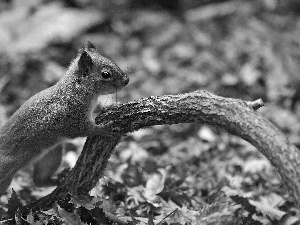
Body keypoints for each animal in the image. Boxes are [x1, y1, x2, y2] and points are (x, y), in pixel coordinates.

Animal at [0, 41, 128, 193]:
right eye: (106, 74)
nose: (127, 80)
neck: (75, 89)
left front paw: (109, 106)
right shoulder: (70, 117)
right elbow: (85, 129)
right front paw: (104, 129)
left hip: (51, 156)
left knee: (39, 181)